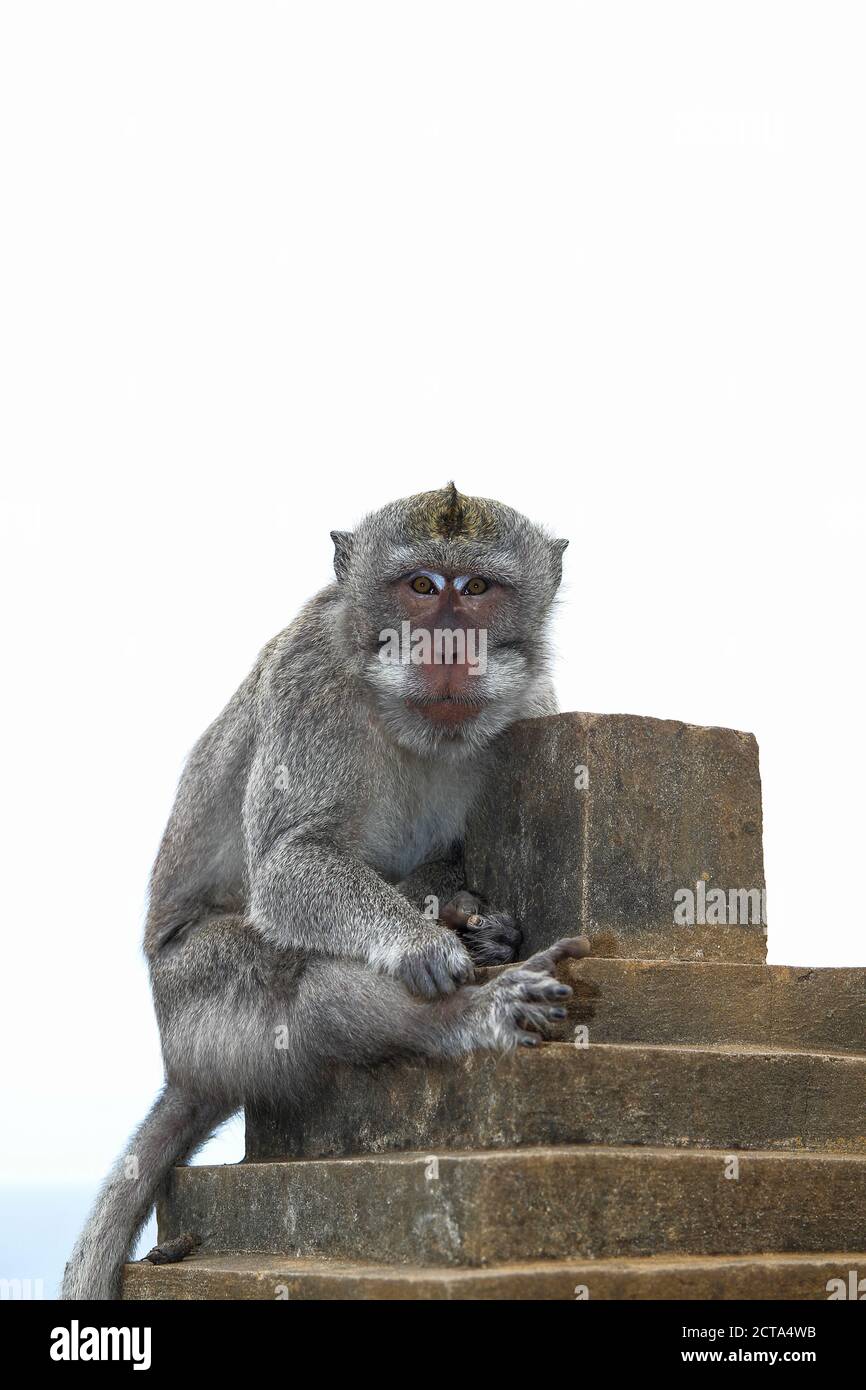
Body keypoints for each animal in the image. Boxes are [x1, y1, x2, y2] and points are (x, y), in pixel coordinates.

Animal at [62, 483, 589, 1295]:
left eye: (475, 589)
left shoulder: (533, 704)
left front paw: (464, 914)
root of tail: (183, 1067)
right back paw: (467, 1013)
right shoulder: (309, 679)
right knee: (300, 980)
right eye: (421, 587)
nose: (447, 646)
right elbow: (290, 863)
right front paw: (426, 941)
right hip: (196, 1007)